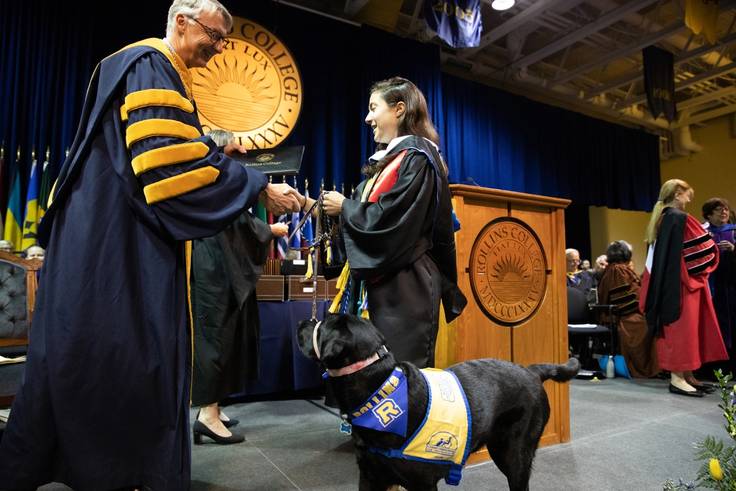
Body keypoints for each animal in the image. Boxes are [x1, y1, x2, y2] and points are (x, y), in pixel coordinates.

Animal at [296, 316, 576, 491]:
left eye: (321, 323)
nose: (304, 321)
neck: (380, 389)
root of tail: (531, 370)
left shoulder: (422, 483)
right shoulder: (369, 476)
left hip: (514, 453)